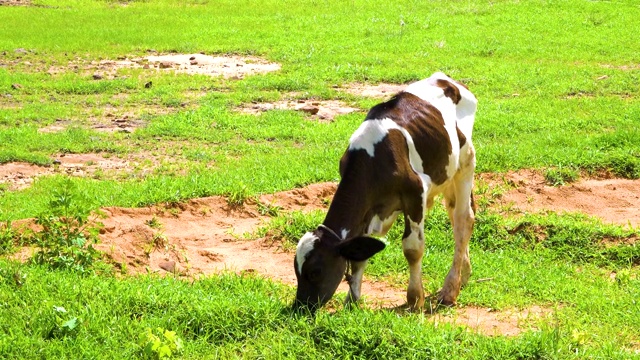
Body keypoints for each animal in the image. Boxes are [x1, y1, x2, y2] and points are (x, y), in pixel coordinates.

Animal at [294, 72, 476, 312]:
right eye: (296, 270)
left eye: (315, 272)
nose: (299, 306)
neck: (372, 159)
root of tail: (445, 78)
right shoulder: (368, 209)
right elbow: (360, 256)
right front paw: (352, 301)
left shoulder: (416, 193)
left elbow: (412, 248)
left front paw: (415, 299)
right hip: (446, 174)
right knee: (454, 216)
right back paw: (463, 275)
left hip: (466, 161)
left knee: (464, 221)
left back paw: (449, 290)